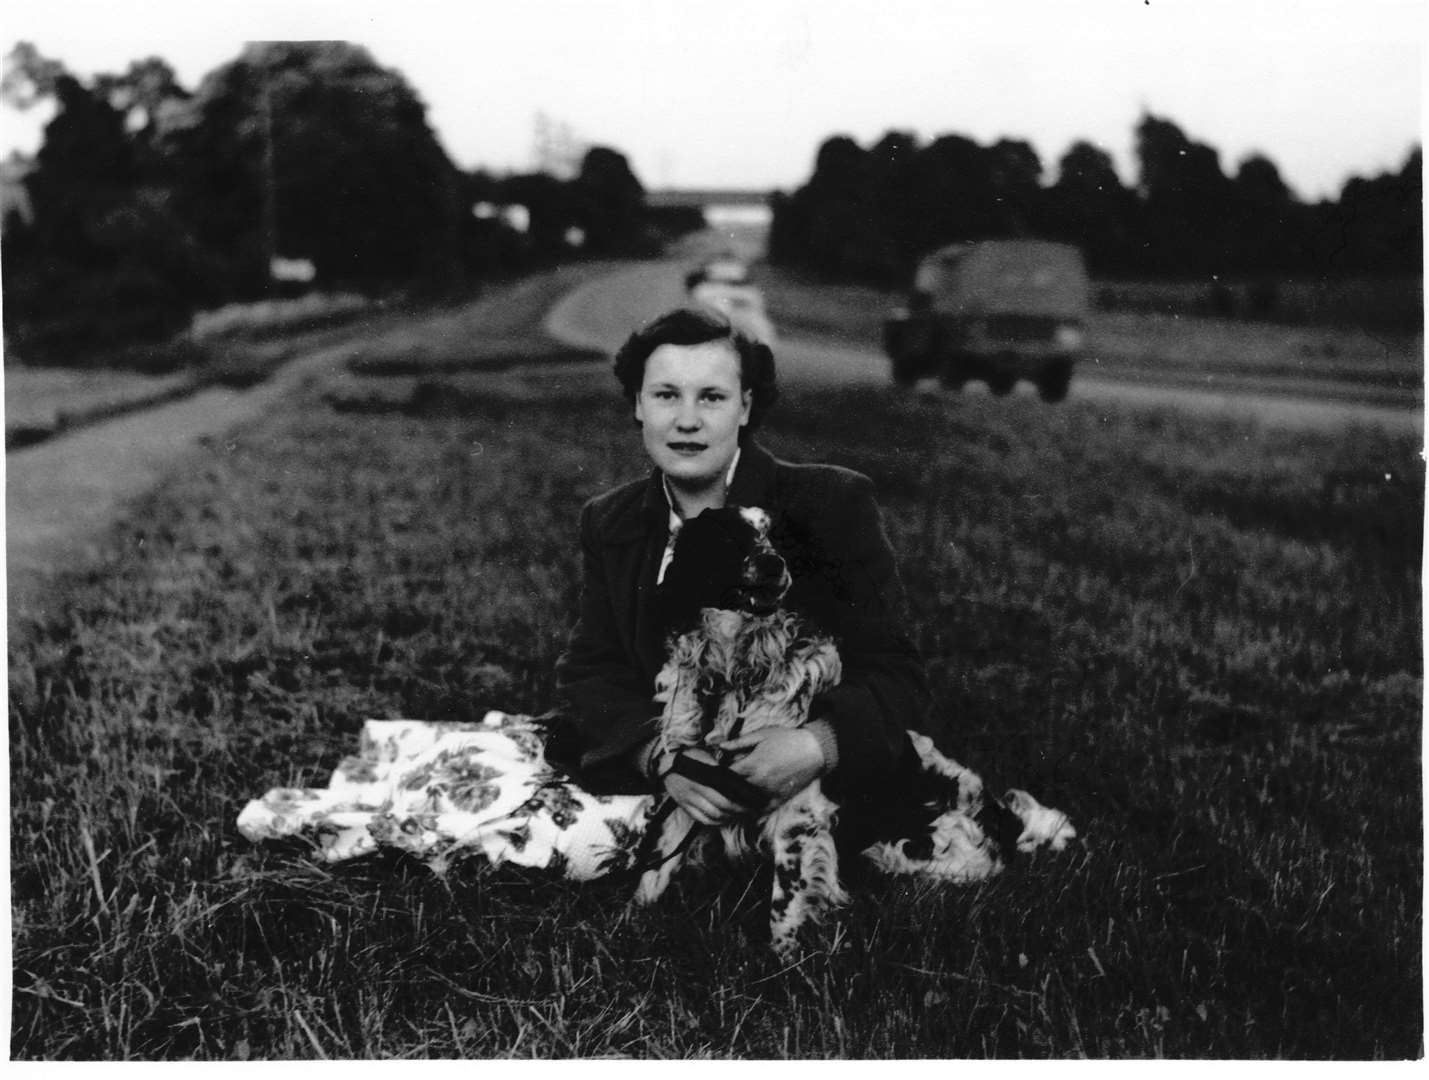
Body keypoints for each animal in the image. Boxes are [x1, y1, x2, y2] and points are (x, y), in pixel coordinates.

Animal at [634, 502, 1074, 960]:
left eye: (782, 539)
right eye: (729, 536)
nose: (772, 564)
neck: (741, 674)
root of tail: (1003, 819)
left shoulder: (799, 807)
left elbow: (785, 902)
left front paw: (784, 963)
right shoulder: (690, 780)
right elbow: (655, 870)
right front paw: (634, 928)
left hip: (901, 848)